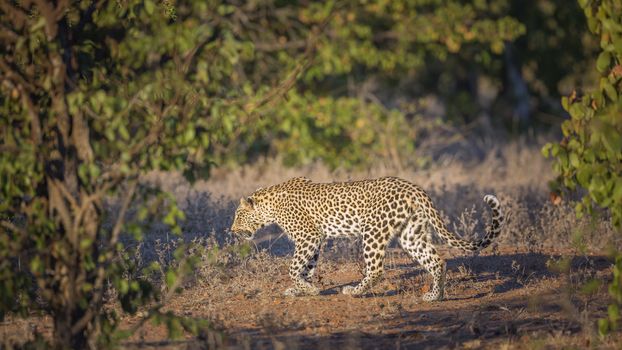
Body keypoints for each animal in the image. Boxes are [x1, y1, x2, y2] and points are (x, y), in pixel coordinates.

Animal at [232, 176, 504, 302]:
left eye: (237, 215)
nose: (232, 231)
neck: (269, 207)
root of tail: (413, 187)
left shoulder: (308, 236)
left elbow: (293, 267)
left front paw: (308, 289)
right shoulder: (315, 240)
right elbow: (306, 267)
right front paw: (303, 289)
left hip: (373, 230)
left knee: (376, 270)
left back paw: (353, 291)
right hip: (411, 234)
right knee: (438, 261)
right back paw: (434, 297)